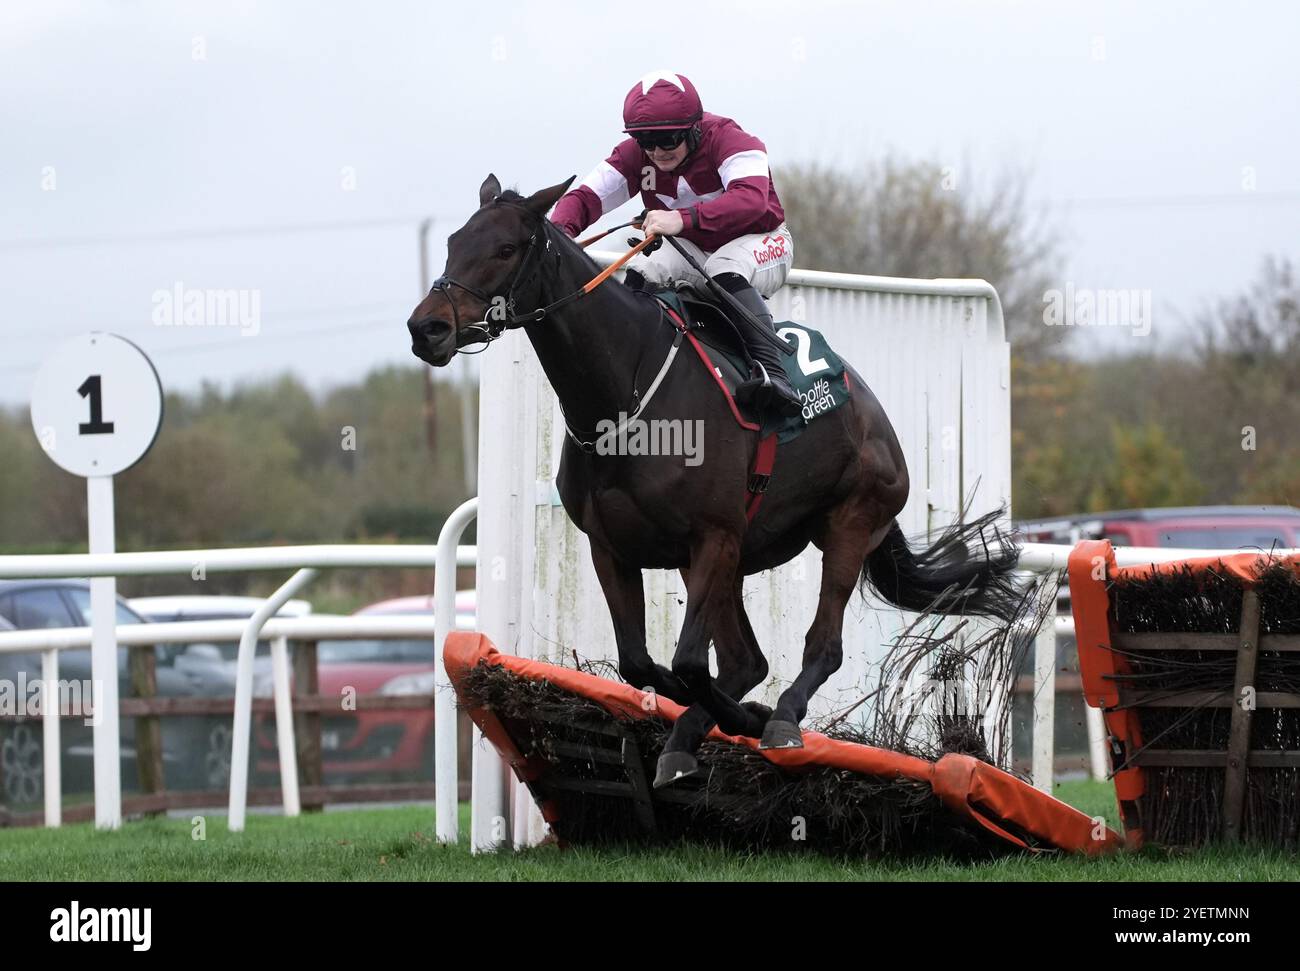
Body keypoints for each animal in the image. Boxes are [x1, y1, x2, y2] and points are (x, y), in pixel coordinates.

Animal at [408, 174, 1024, 790]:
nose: (426, 328)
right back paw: (692, 738)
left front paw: (749, 717)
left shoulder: (714, 536)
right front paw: (715, 714)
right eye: (453, 243)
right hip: (728, 557)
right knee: (745, 660)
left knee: (821, 646)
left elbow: (685, 663)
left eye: (505, 249)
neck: (627, 392)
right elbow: (640, 663)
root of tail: (874, 412)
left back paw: (779, 718)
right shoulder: (612, 547)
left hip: (848, 523)